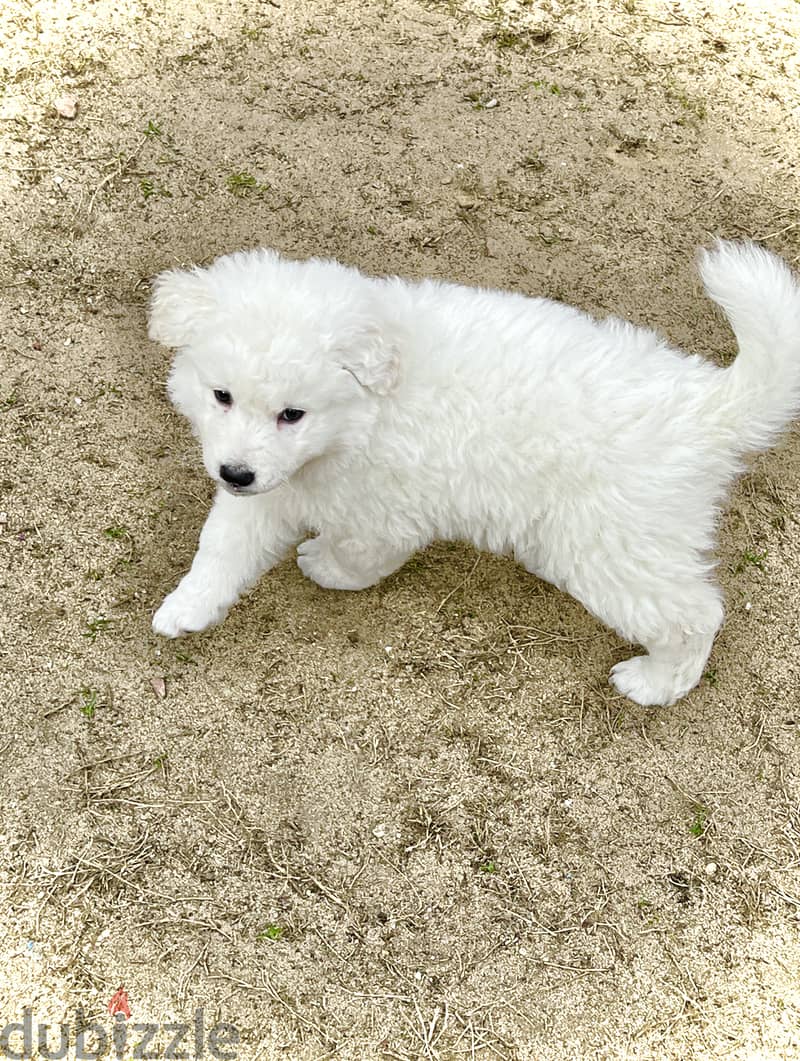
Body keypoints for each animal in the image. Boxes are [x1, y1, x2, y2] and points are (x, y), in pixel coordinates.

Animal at [148, 242, 797, 704]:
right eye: (222, 395)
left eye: (293, 414)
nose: (234, 472)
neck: (364, 416)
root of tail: (706, 406)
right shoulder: (272, 487)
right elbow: (222, 545)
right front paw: (187, 607)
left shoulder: (386, 513)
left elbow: (360, 558)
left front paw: (326, 567)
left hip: (613, 549)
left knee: (695, 616)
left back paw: (656, 683)